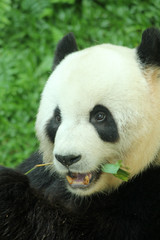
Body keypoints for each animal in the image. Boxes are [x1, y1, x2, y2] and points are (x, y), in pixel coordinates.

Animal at [0, 27, 160, 240]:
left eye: (100, 116)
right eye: (57, 117)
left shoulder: (146, 200)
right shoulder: (42, 172)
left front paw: (8, 190)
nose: (67, 158)